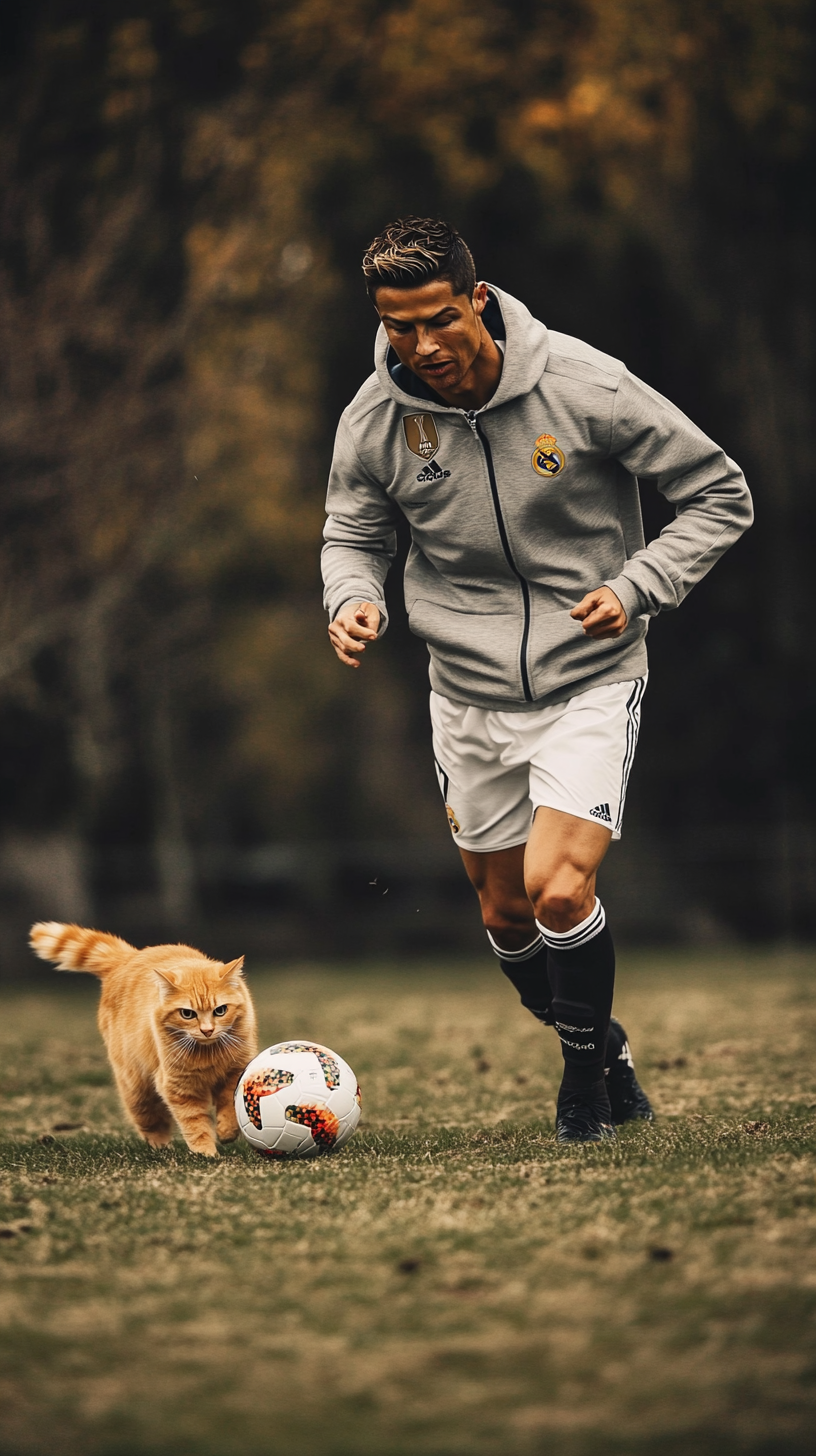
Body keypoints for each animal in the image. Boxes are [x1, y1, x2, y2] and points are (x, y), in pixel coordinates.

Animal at [30, 920, 256, 1158]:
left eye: (220, 1010)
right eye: (187, 1014)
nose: (207, 1030)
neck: (210, 1051)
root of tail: (129, 957)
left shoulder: (235, 1072)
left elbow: (229, 1106)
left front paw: (227, 1132)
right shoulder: (179, 1087)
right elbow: (195, 1123)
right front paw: (205, 1153)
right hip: (137, 1087)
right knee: (152, 1123)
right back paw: (161, 1147)